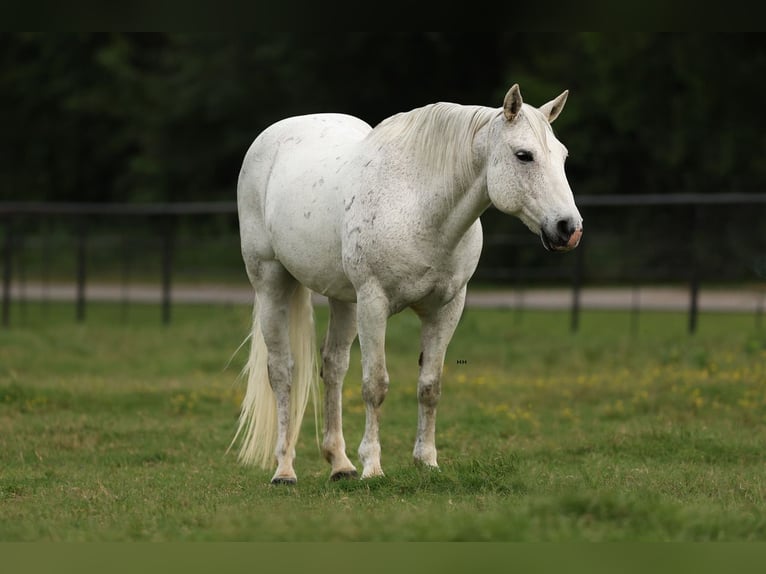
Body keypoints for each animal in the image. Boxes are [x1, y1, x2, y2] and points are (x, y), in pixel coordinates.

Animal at [232, 83, 584, 484]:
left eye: (562, 155)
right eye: (524, 155)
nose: (569, 228)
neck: (420, 207)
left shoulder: (446, 308)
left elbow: (430, 386)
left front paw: (426, 461)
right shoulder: (374, 303)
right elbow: (375, 385)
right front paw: (372, 467)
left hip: (344, 300)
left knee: (333, 367)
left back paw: (340, 464)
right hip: (272, 282)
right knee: (282, 372)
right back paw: (285, 470)